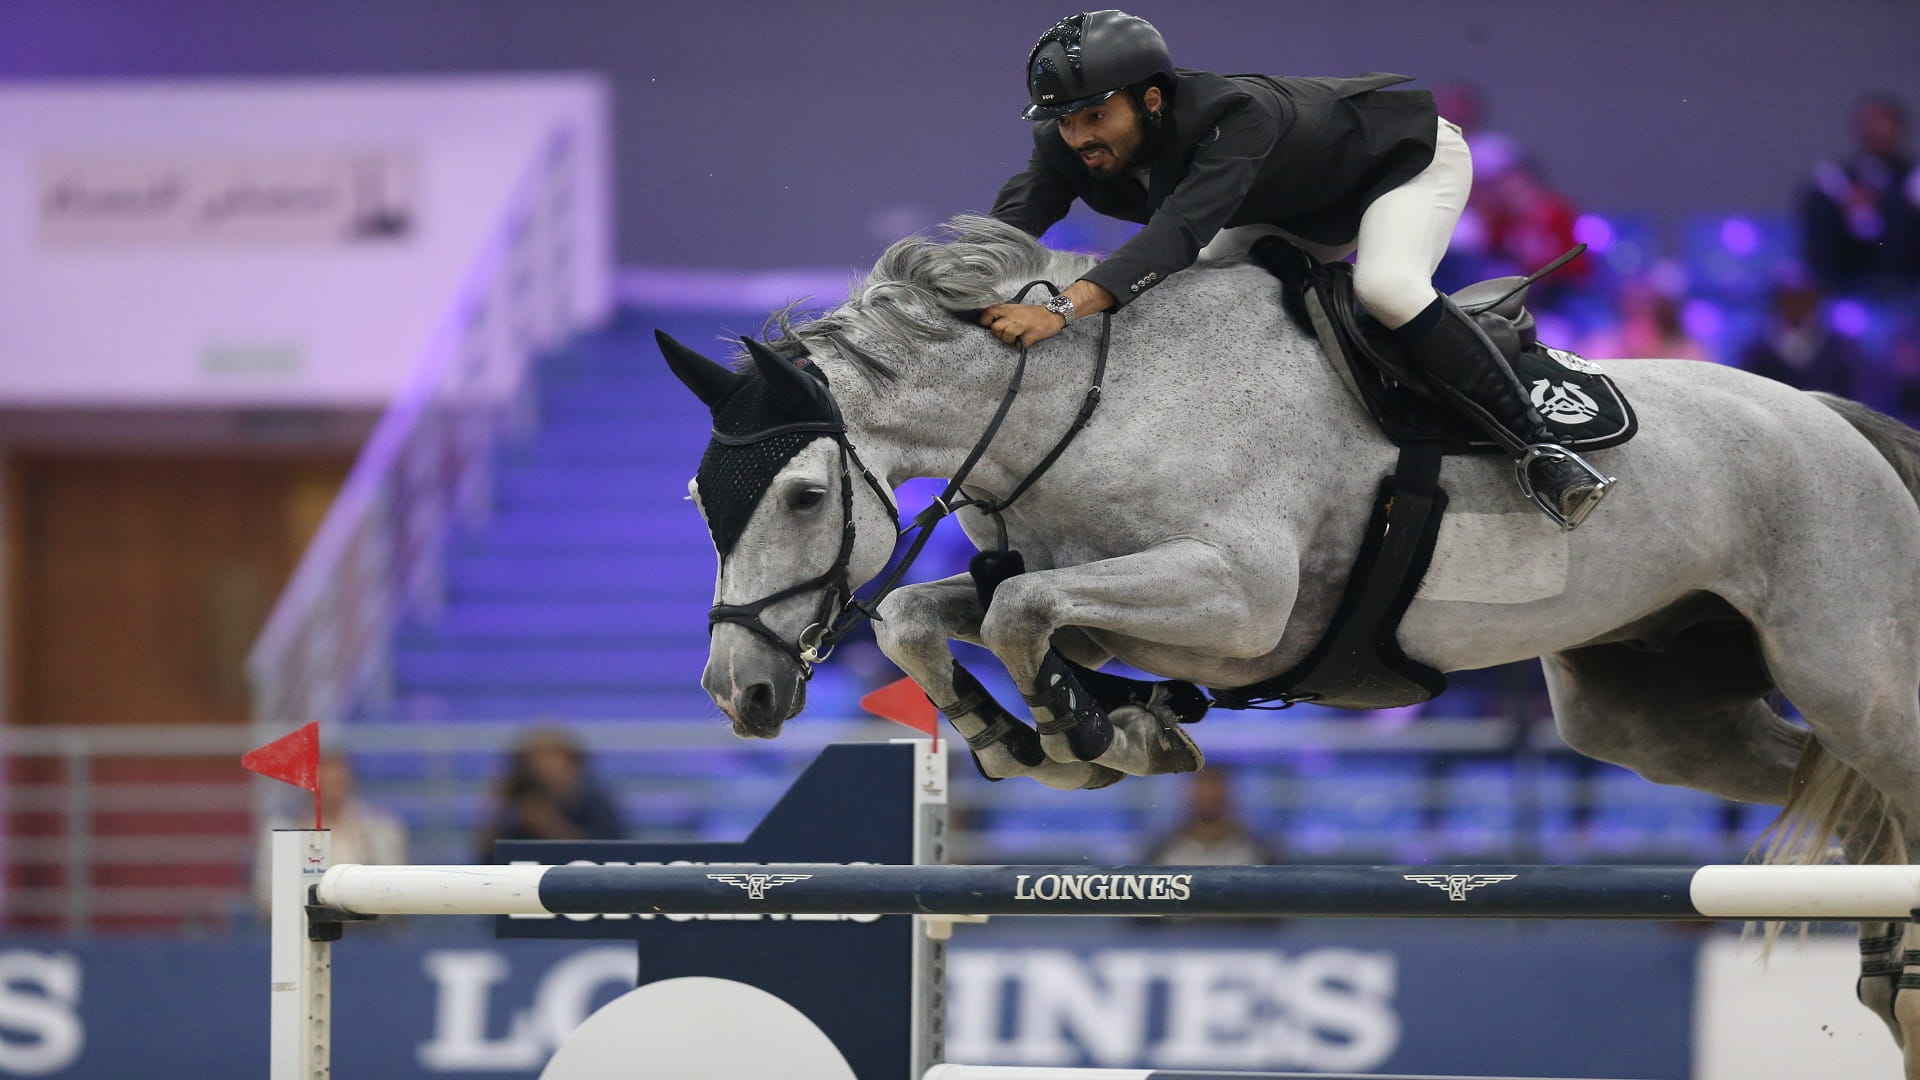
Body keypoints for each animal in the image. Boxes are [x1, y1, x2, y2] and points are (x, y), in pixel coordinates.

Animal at [656, 212, 1920, 1068]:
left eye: (805, 497)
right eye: (701, 500)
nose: (740, 693)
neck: (1082, 407)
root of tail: (1833, 419)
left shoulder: (1238, 604)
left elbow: (1021, 619)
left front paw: (1098, 733)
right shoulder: (1078, 589)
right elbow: (936, 614)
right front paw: (1042, 735)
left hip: (1850, 675)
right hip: (1651, 714)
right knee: (1844, 811)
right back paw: (1887, 978)